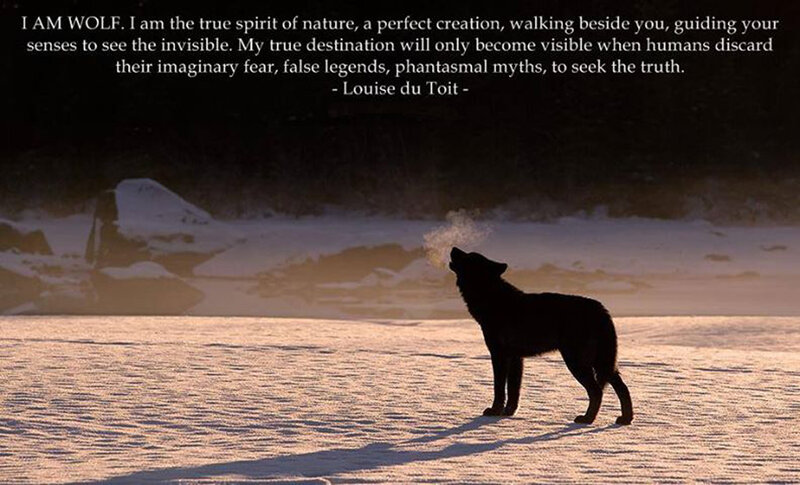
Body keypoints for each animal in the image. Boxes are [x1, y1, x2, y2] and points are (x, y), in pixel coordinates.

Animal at [449, 247, 634, 425]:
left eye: (468, 256)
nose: (453, 248)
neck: (492, 298)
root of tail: (601, 309)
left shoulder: (499, 355)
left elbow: (499, 388)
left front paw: (494, 411)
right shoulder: (516, 358)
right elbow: (513, 390)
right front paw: (508, 413)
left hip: (577, 362)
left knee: (596, 392)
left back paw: (587, 419)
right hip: (601, 363)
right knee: (622, 388)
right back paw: (625, 419)